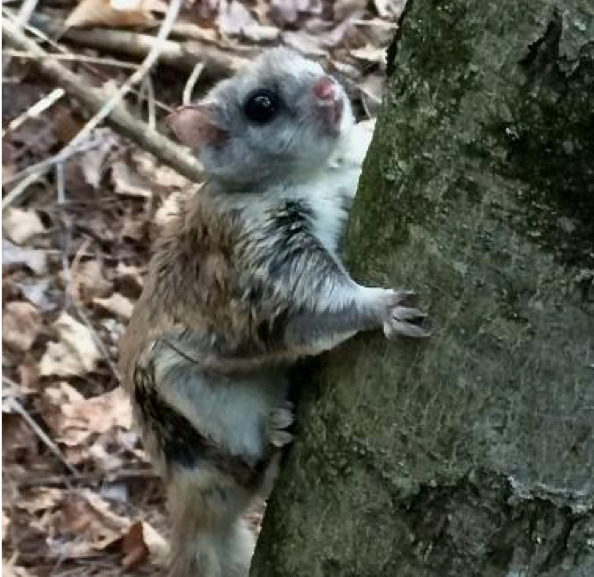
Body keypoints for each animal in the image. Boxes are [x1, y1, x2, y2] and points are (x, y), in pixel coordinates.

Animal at [119, 46, 426, 576]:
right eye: (261, 107)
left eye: (307, 59)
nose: (328, 85)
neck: (318, 172)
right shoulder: (261, 252)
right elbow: (312, 305)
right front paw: (381, 307)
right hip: (188, 402)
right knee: (243, 471)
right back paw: (272, 439)